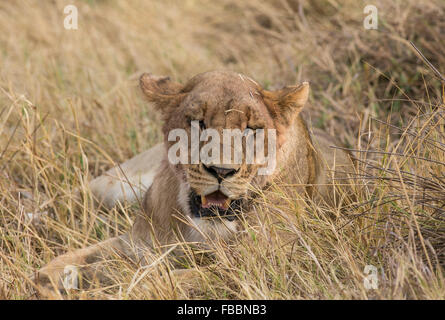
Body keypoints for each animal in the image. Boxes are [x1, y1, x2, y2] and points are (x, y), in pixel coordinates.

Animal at [33, 70, 354, 298]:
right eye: (198, 123)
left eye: (251, 129)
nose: (221, 170)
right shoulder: (136, 243)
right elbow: (50, 269)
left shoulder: (259, 267)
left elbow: (165, 281)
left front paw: (107, 283)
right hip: (115, 186)